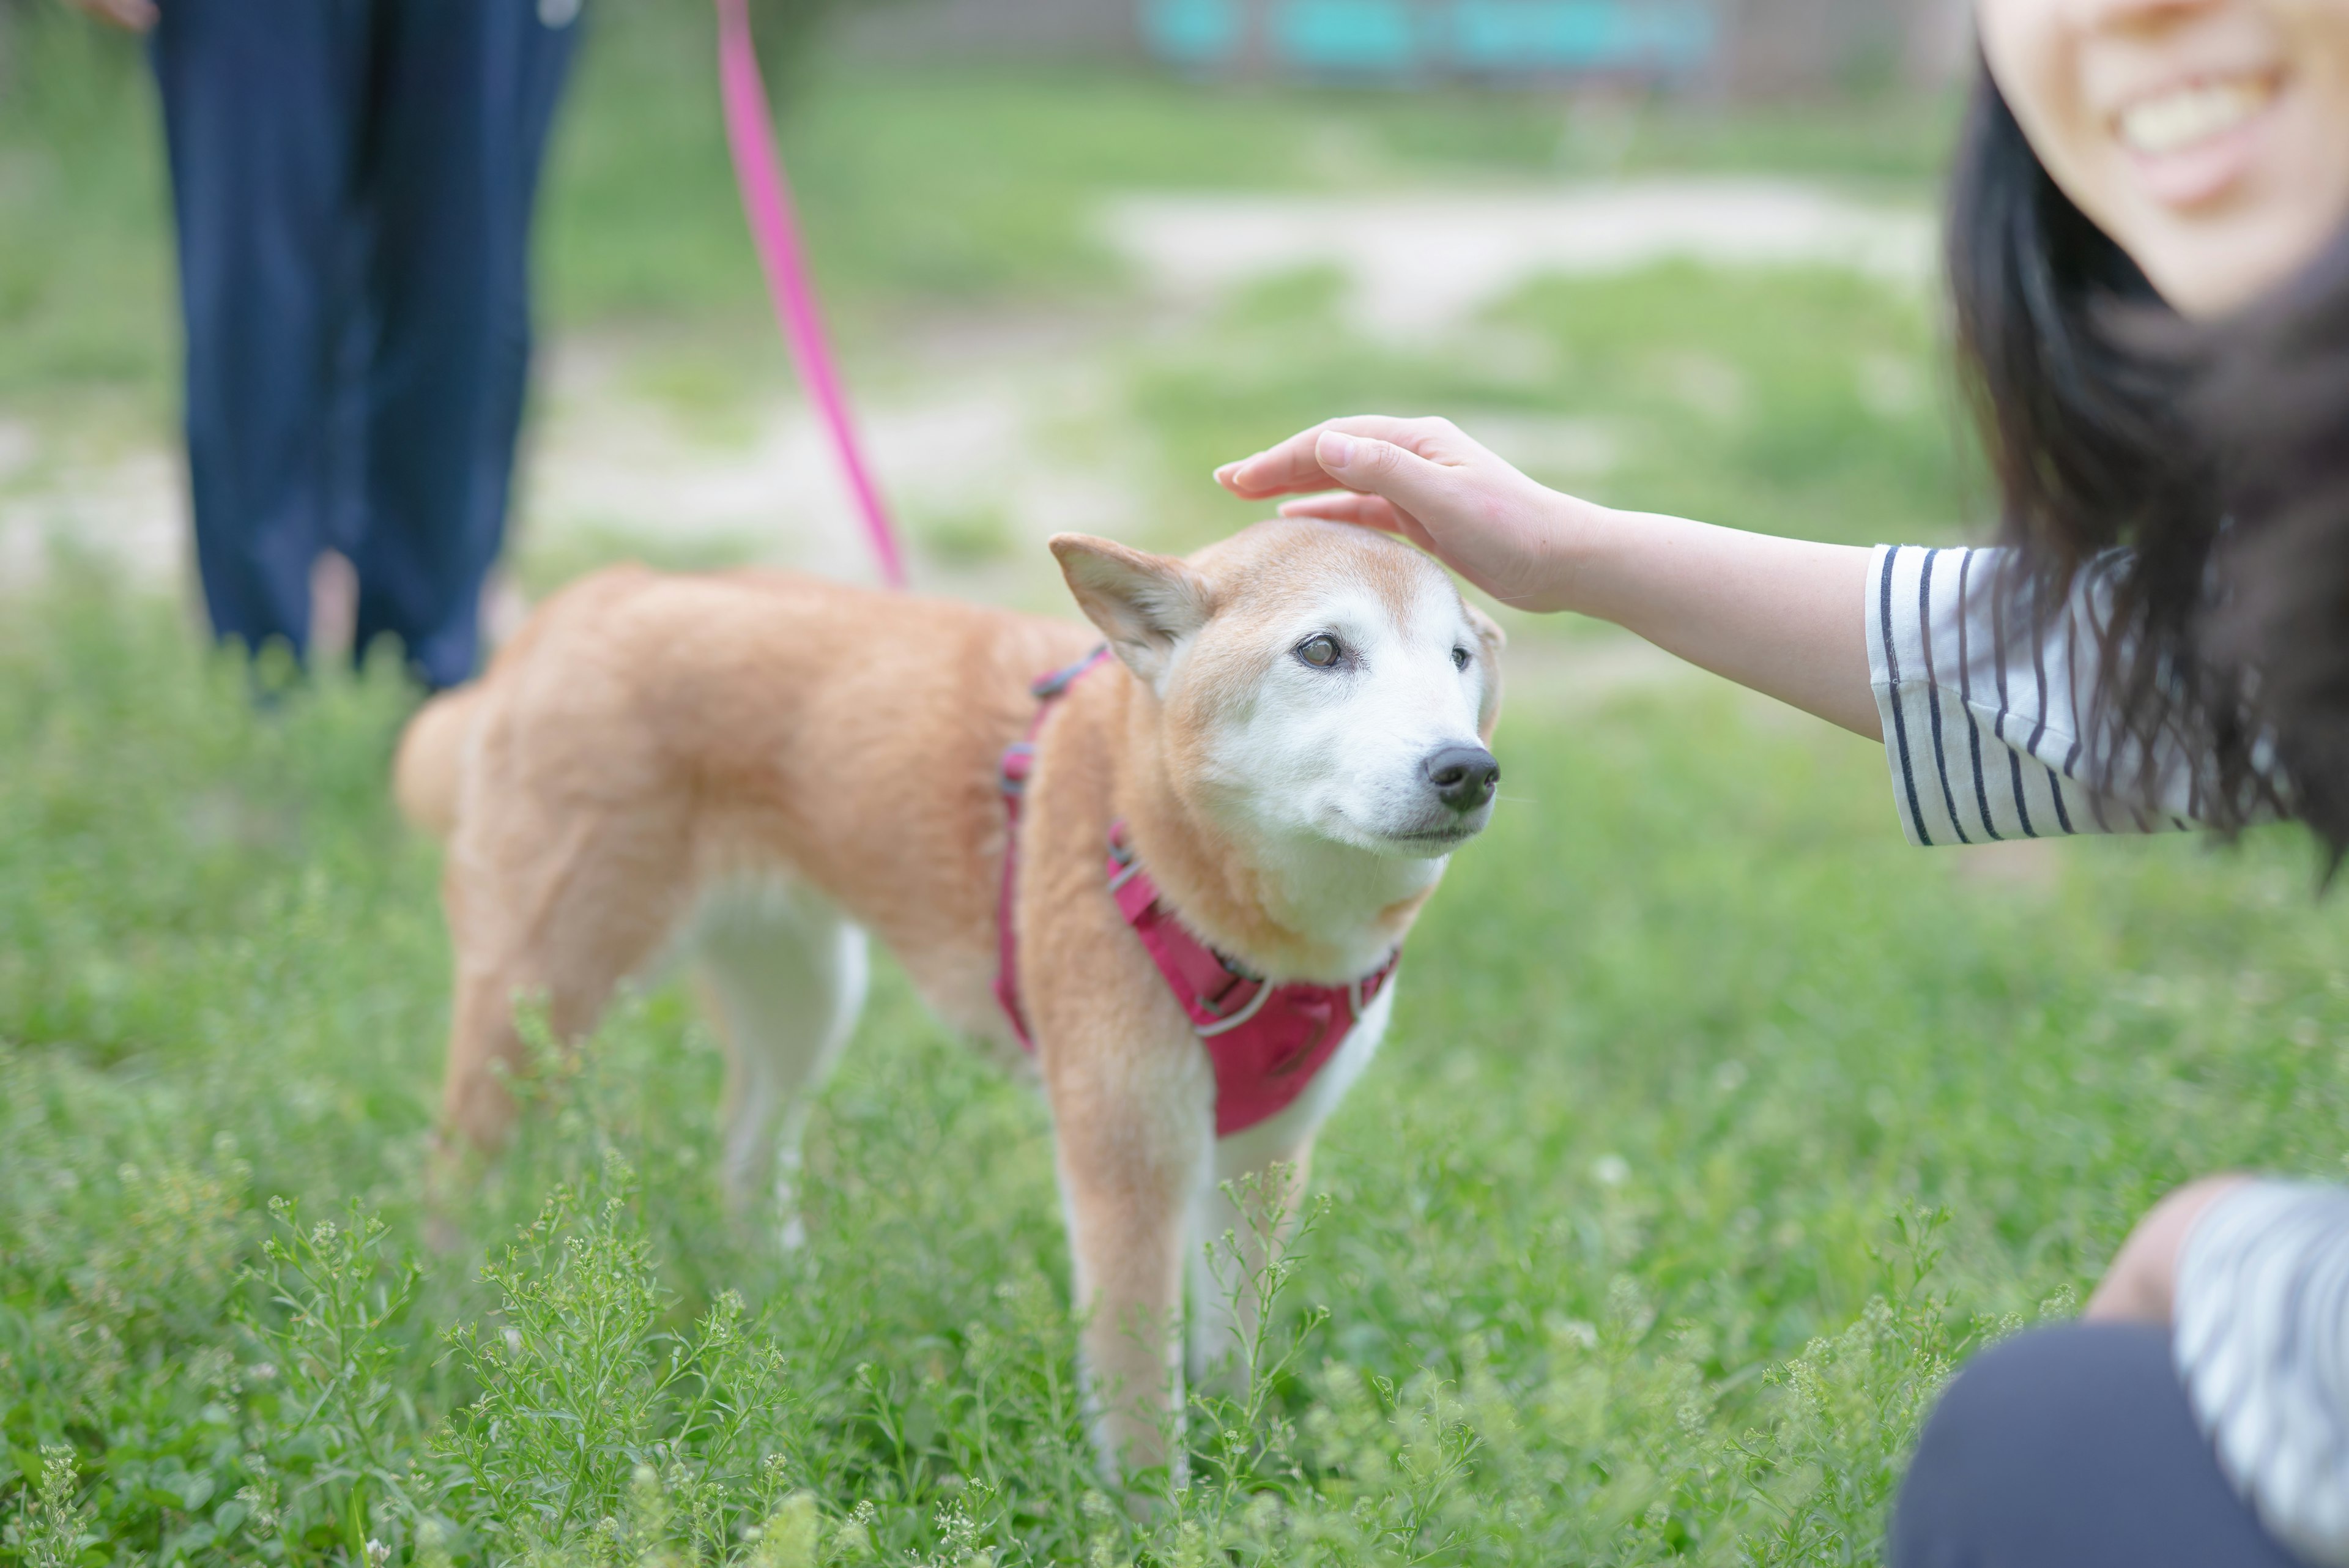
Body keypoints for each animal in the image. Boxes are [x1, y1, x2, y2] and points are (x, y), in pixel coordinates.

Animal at [396, 517, 1503, 1485]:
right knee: (449, 1170)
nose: (1468, 767)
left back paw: (784, 1294)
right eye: (1323, 649)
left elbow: (1233, 1353)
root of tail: (583, 601)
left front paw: (1244, 1473)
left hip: (807, 997)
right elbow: (1144, 1410)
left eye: (1458, 658)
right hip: (544, 995)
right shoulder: (1128, 1164)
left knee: (748, 1144)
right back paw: (461, 1323)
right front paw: (1162, 1525)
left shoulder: (1262, 1159)